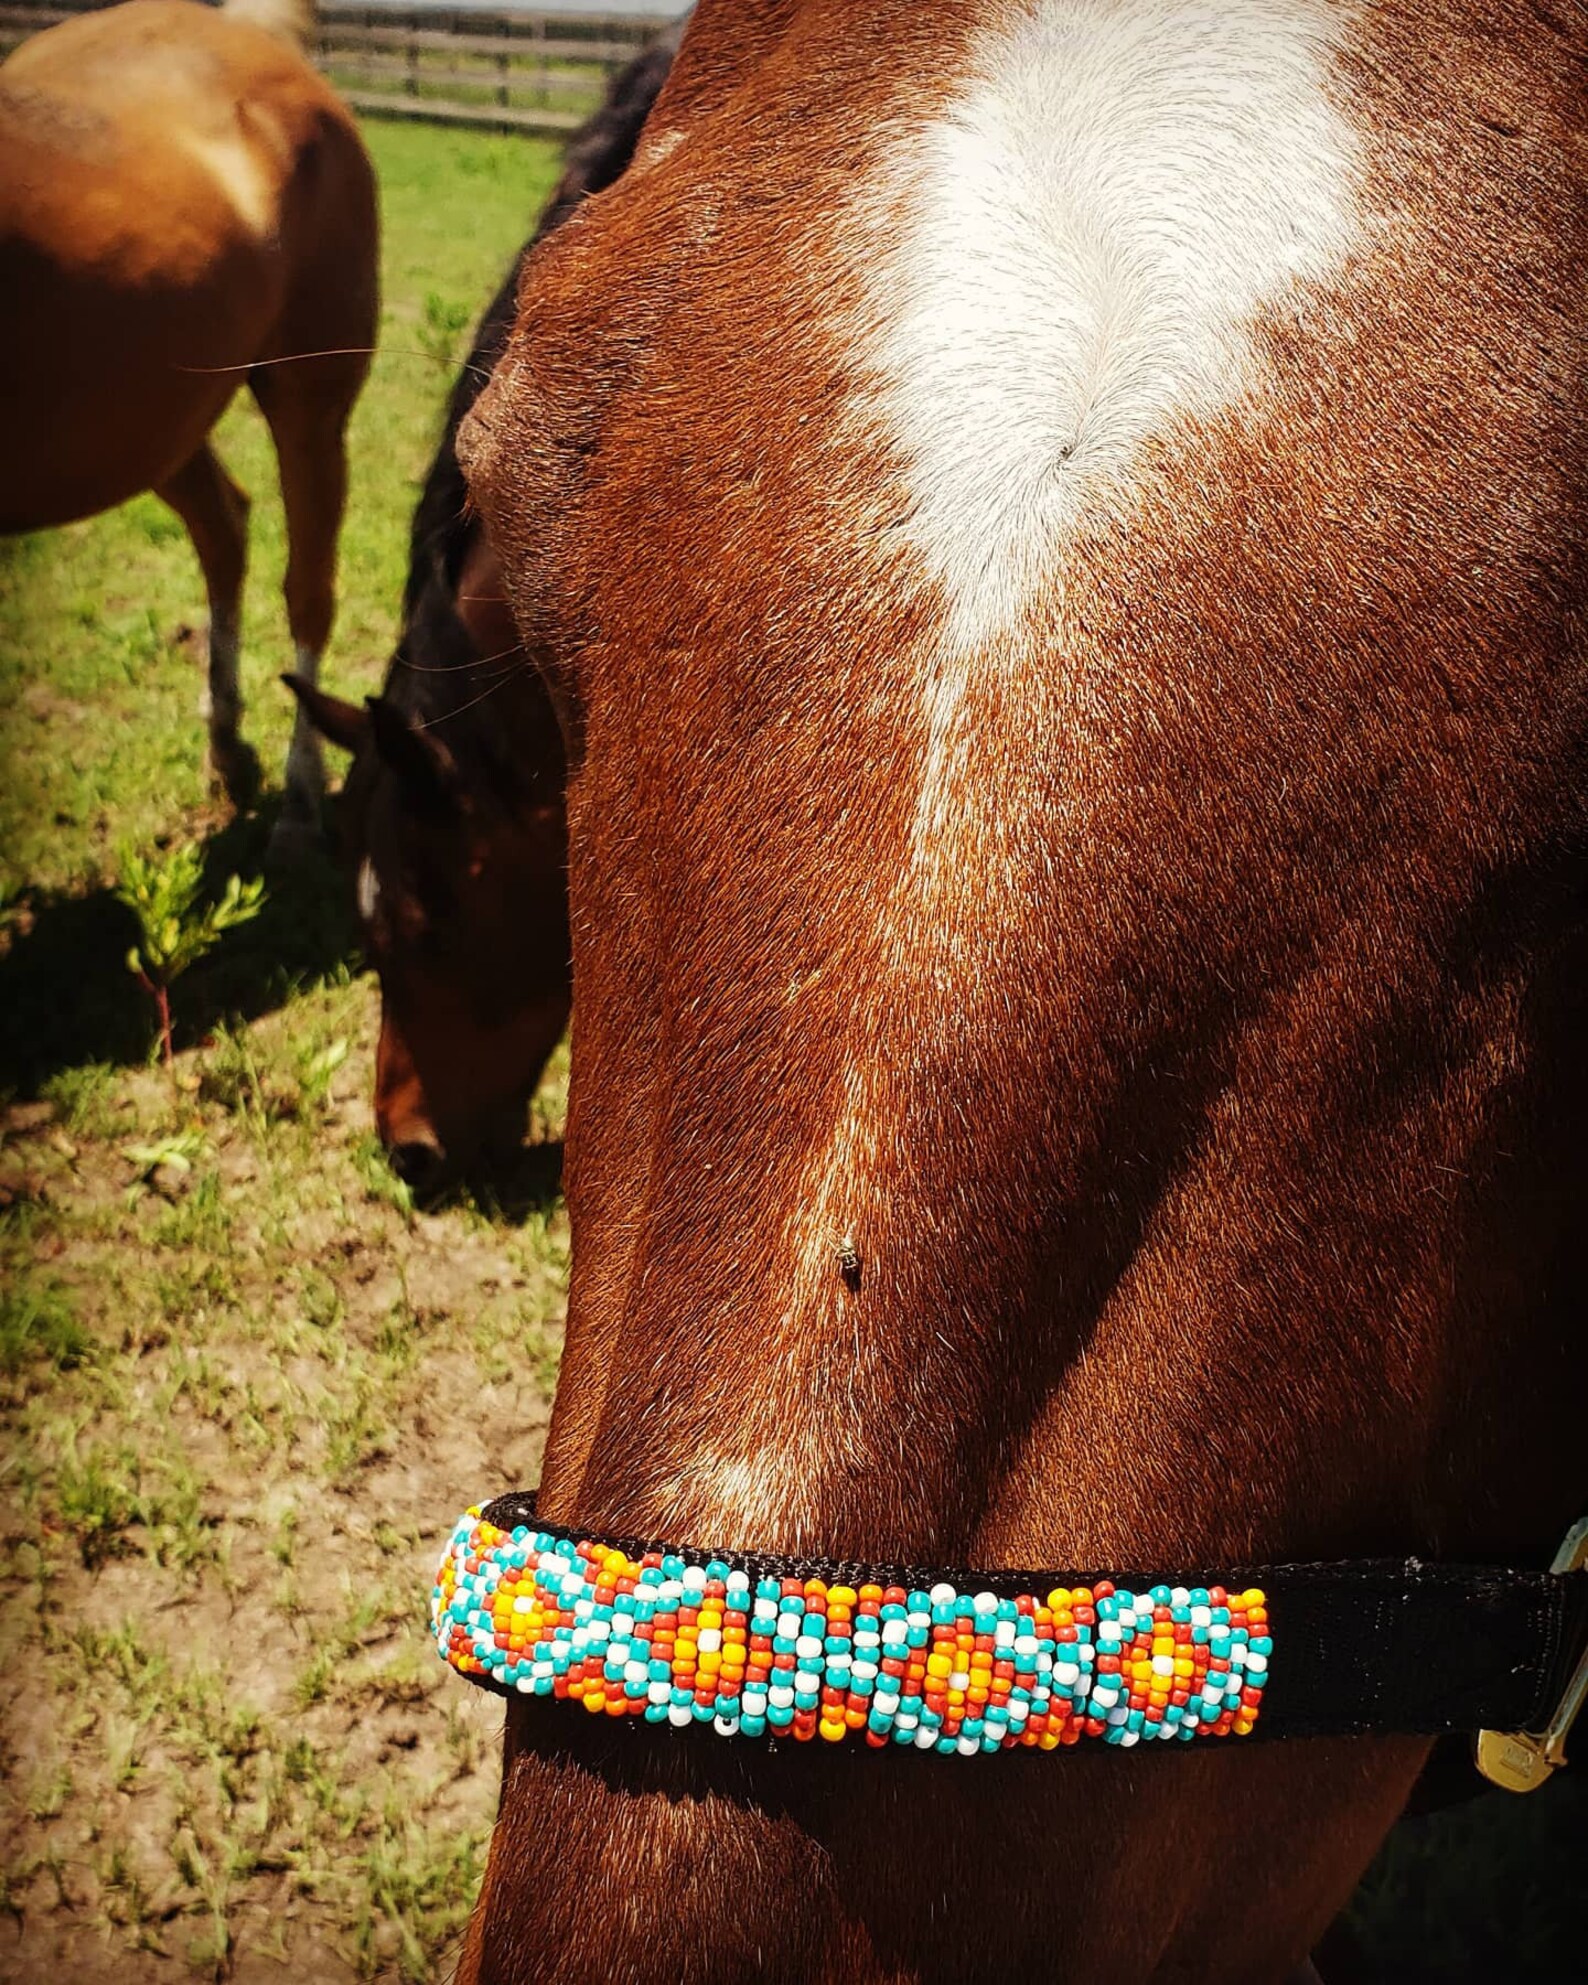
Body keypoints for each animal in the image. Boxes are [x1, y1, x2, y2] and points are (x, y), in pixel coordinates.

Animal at [0, 0, 377, 852]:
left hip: (309, 405)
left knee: (307, 588)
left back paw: (300, 794)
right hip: (147, 426)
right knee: (223, 526)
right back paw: (227, 747)